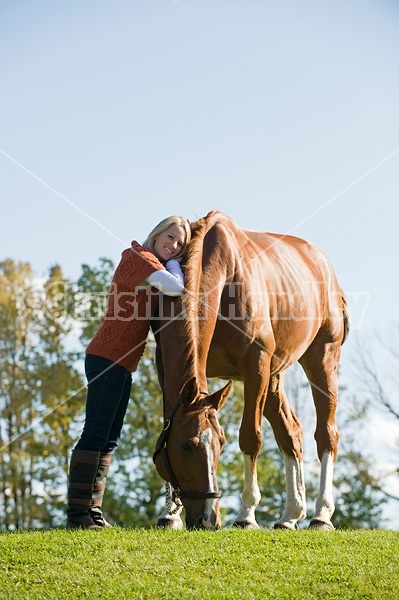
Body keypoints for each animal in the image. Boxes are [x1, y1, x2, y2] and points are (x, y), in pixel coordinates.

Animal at [153, 211, 350, 528]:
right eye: (186, 446)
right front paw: (169, 514)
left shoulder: (255, 365)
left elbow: (250, 437)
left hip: (322, 361)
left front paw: (246, 514)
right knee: (291, 434)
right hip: (274, 377)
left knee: (326, 434)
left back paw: (321, 514)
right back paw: (290, 515)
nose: (208, 519)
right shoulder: (164, 367)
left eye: (221, 444)